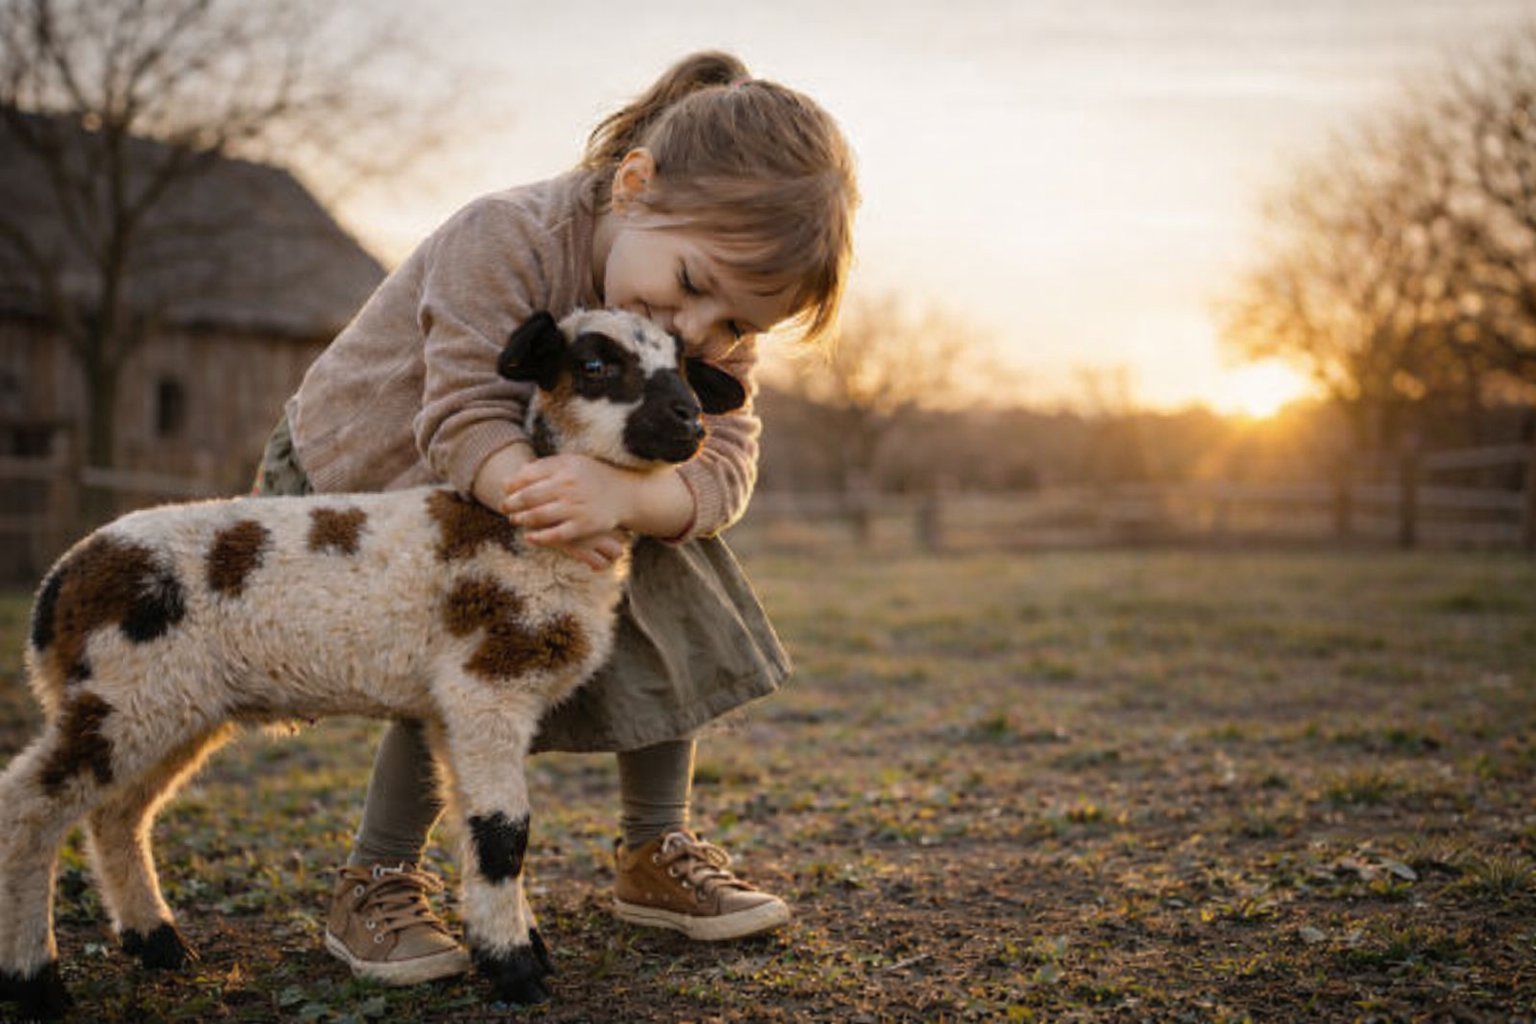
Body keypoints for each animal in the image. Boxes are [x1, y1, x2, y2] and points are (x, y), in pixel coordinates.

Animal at [0, 308, 746, 1018]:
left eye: (682, 365)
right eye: (594, 366)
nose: (691, 419)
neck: (523, 537)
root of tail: (57, 589)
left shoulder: (452, 709)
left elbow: (471, 826)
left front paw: (512, 945)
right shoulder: (487, 685)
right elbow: (502, 834)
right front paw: (516, 972)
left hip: (175, 706)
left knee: (117, 816)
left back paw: (157, 945)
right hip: (124, 692)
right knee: (29, 806)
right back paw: (35, 980)